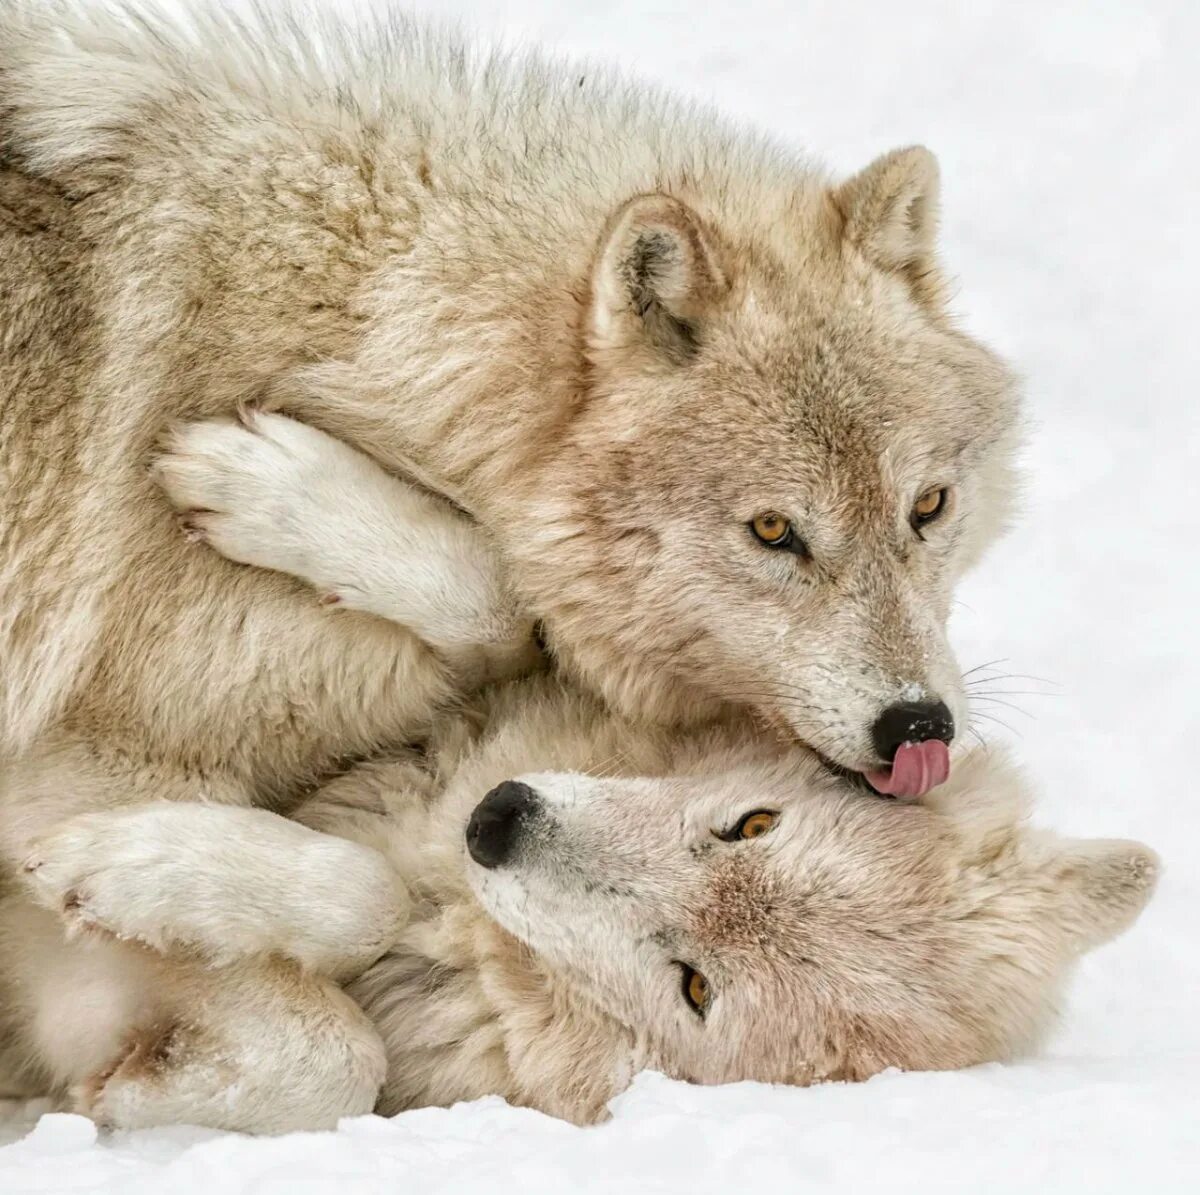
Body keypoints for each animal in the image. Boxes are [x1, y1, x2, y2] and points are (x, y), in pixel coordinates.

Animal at [0, 0, 1017, 878]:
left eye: (930, 506)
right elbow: (501, 597)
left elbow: (509, 615)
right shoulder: (91, 769)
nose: (919, 728)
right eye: (773, 531)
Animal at [2, 419, 1161, 1127]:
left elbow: (339, 1044)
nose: (500, 819)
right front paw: (274, 484)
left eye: (694, 986)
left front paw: (130, 898)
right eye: (751, 821)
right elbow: (496, 600)